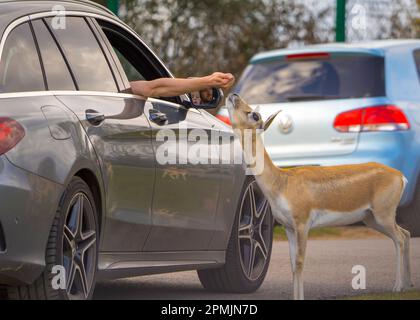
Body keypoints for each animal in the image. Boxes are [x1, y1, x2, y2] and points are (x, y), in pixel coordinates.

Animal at [226, 92, 414, 300]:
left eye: (254, 115)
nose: (234, 95)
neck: (282, 182)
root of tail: (400, 176)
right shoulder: (288, 227)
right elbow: (293, 265)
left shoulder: (302, 224)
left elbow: (300, 262)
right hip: (372, 219)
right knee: (406, 234)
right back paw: (409, 286)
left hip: (383, 214)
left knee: (400, 238)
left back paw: (397, 287)